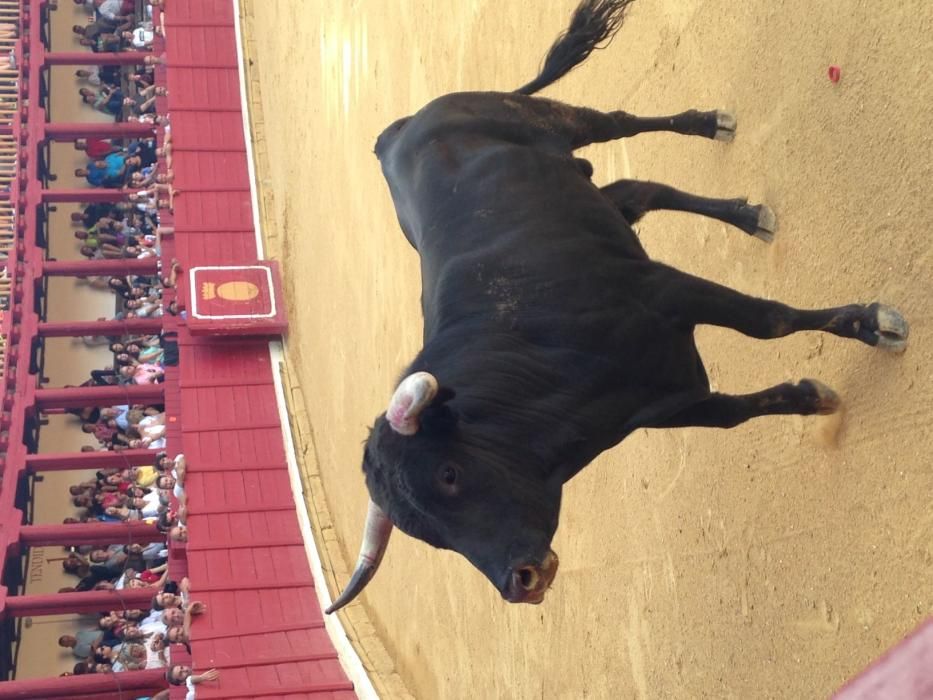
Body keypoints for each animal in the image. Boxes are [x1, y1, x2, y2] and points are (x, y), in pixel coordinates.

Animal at [324, 0, 908, 612]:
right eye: (430, 536)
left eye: (448, 475)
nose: (521, 581)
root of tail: (406, 126)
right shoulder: (665, 403)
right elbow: (736, 412)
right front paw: (814, 397)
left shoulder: (667, 290)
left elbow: (770, 321)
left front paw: (875, 325)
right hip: (591, 193)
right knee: (642, 190)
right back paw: (747, 216)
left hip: (557, 119)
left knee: (621, 123)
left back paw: (711, 126)